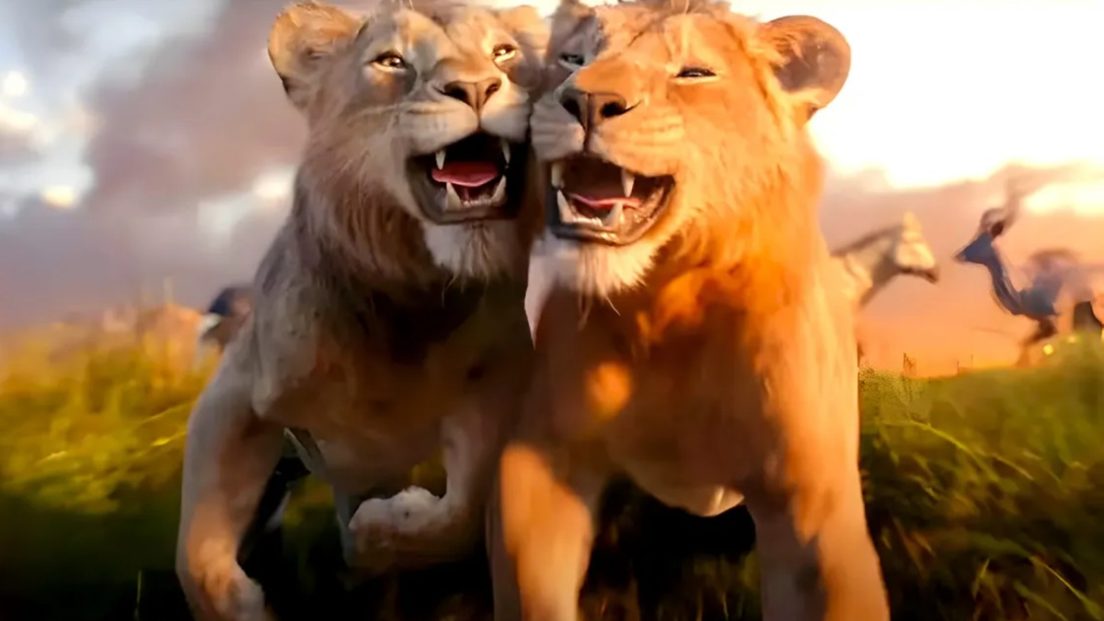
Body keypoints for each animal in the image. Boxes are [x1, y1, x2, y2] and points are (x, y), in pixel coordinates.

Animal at [174, 1, 548, 619]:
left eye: (503, 53)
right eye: (391, 61)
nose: (475, 87)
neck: (412, 303)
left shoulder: (496, 382)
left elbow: (460, 512)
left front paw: (382, 533)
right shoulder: (236, 390)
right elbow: (196, 553)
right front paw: (244, 604)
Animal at [490, 1, 890, 620]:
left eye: (693, 74)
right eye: (573, 59)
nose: (585, 101)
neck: (662, 305)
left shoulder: (810, 496)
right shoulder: (539, 457)